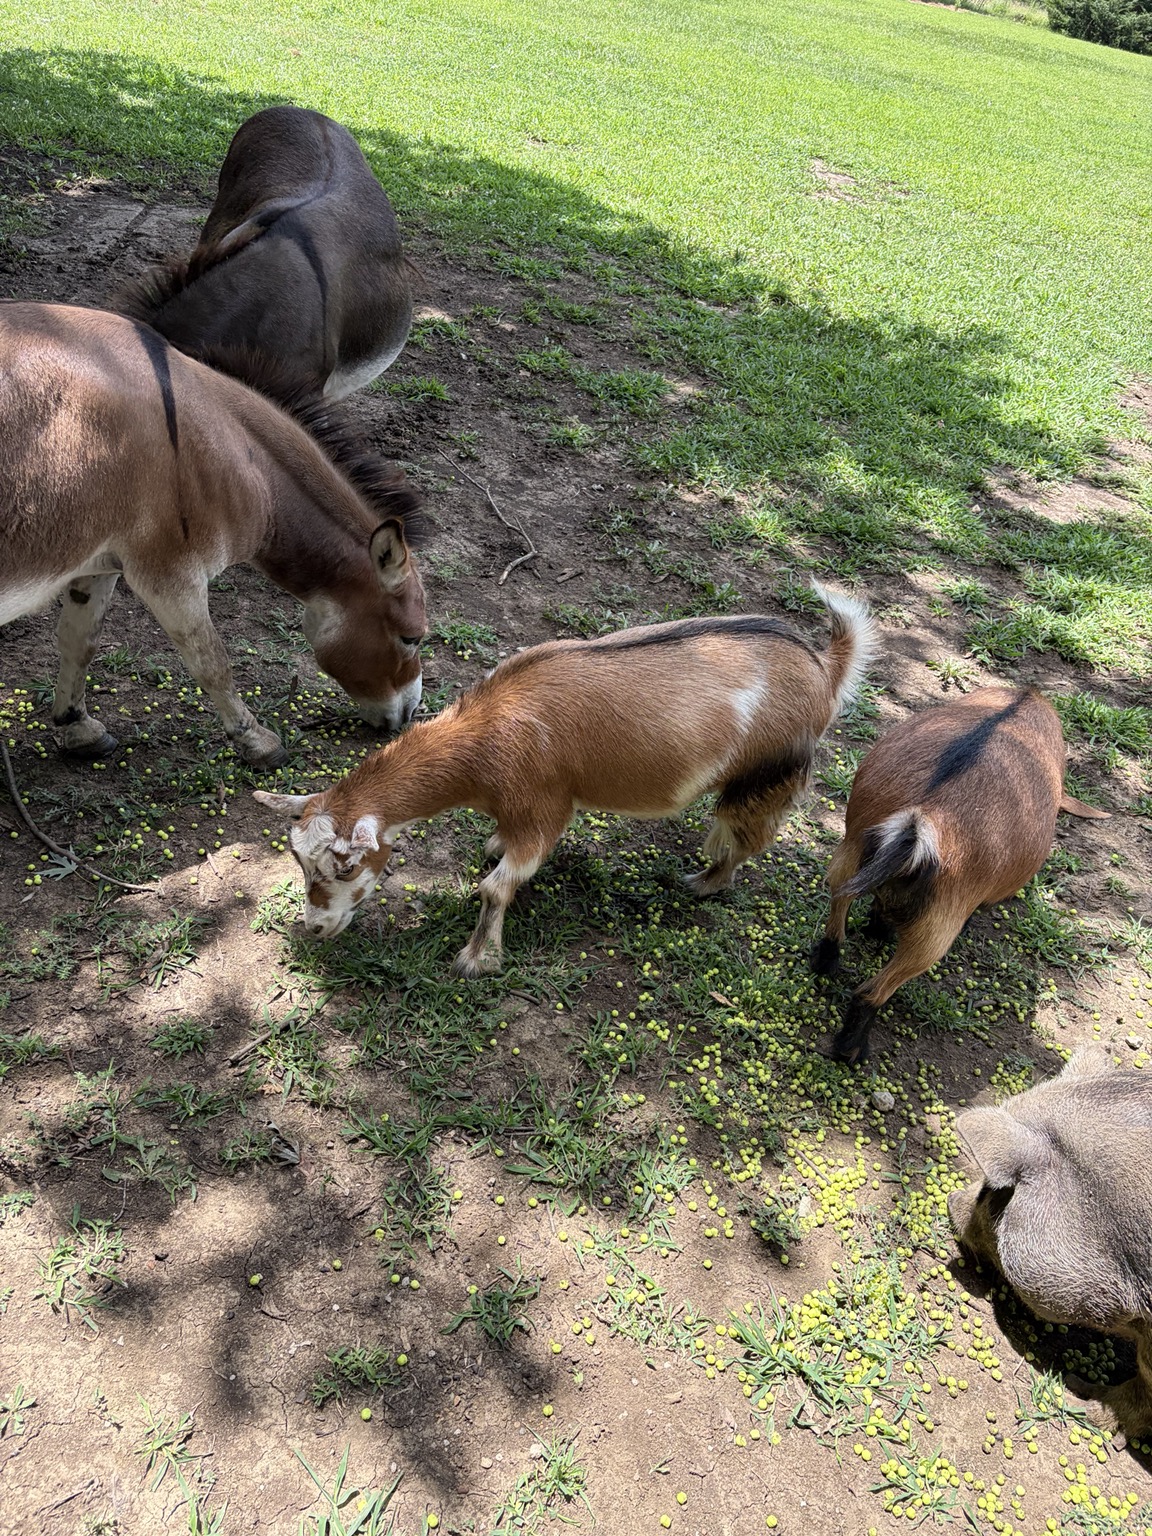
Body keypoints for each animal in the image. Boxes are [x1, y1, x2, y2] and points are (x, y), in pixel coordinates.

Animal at [0, 302, 426, 767]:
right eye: (412, 638)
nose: (409, 715)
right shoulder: (172, 575)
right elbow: (212, 662)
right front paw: (257, 740)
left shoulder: (99, 564)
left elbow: (80, 641)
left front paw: (77, 727)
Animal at [255, 587, 875, 976]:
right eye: (299, 862)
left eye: (346, 867)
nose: (314, 928)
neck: (485, 736)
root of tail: (825, 669)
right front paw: (491, 845)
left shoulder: (543, 810)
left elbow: (497, 886)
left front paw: (477, 960)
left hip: (763, 777)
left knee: (742, 838)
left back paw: (701, 882)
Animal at [811, 685, 1109, 1064]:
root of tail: (922, 819)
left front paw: (877, 928)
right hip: (936, 929)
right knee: (872, 991)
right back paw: (851, 1049)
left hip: (850, 853)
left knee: (838, 905)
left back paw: (827, 961)